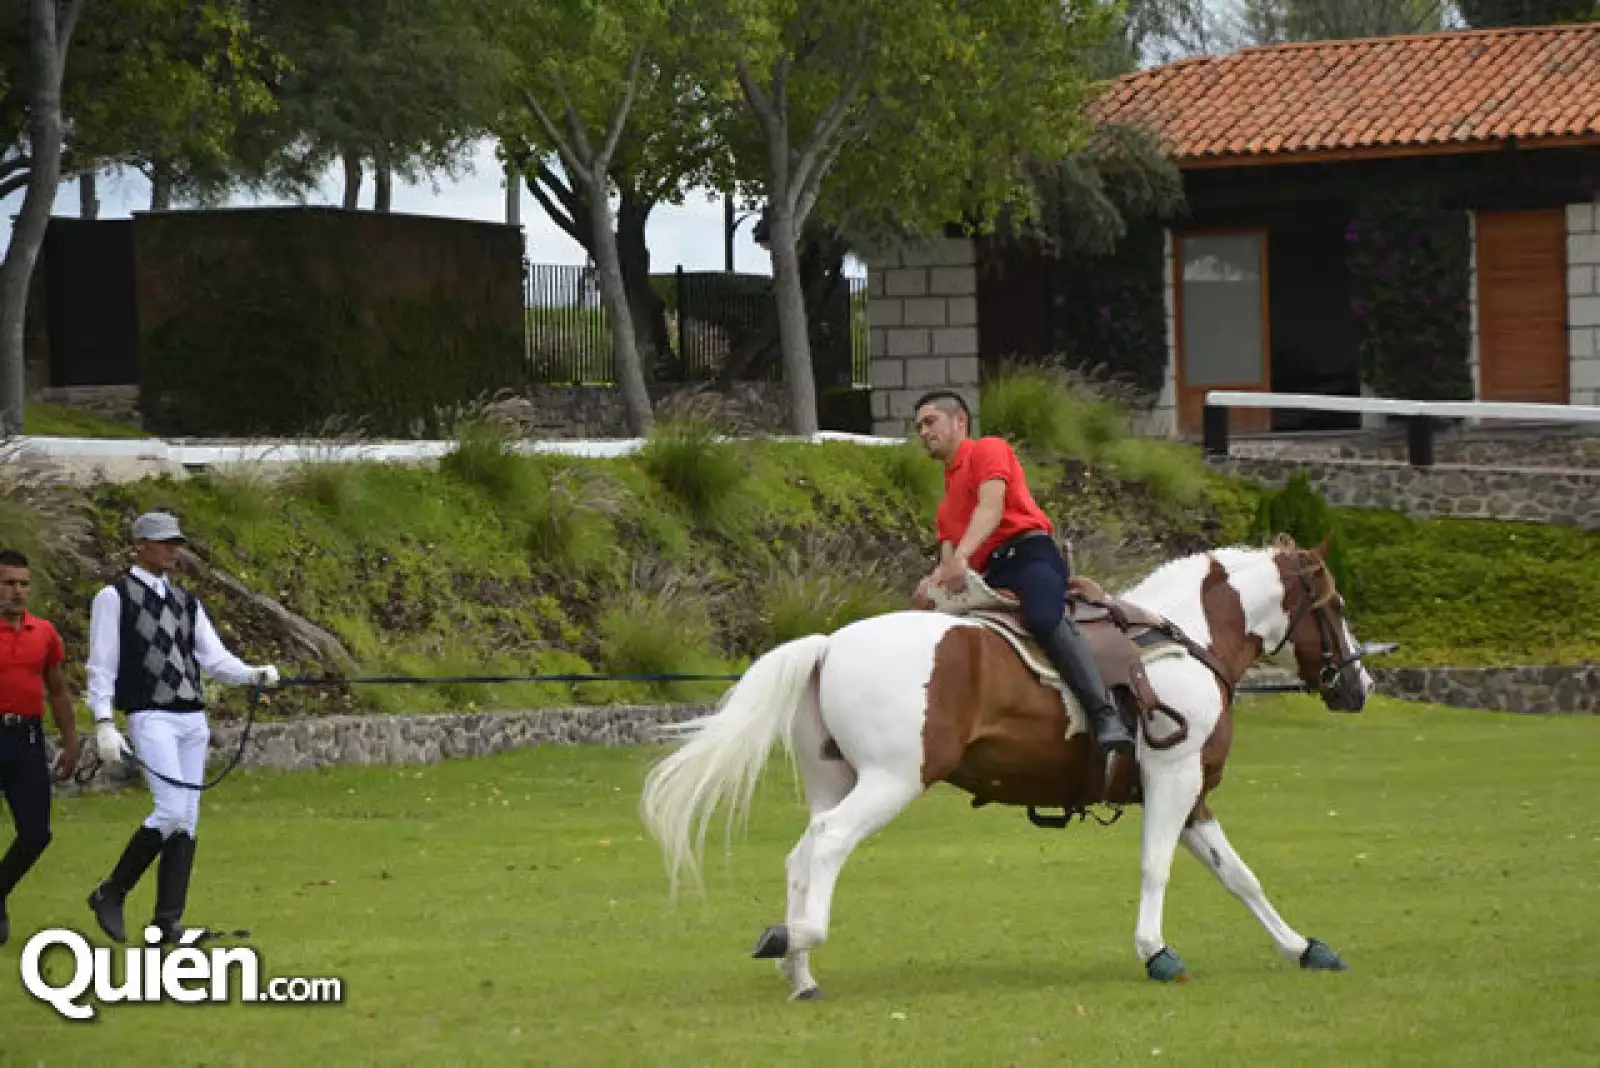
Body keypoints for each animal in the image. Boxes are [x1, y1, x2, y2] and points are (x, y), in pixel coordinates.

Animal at [639, 537, 1375, 1000]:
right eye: (1337, 607)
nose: (1358, 685)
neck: (1187, 642)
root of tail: (828, 644)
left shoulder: (1192, 796)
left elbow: (1241, 878)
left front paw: (1303, 947)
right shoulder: (1173, 781)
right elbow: (1156, 868)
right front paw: (1156, 952)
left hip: (834, 781)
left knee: (802, 853)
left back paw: (801, 972)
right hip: (890, 782)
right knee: (827, 844)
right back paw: (795, 939)